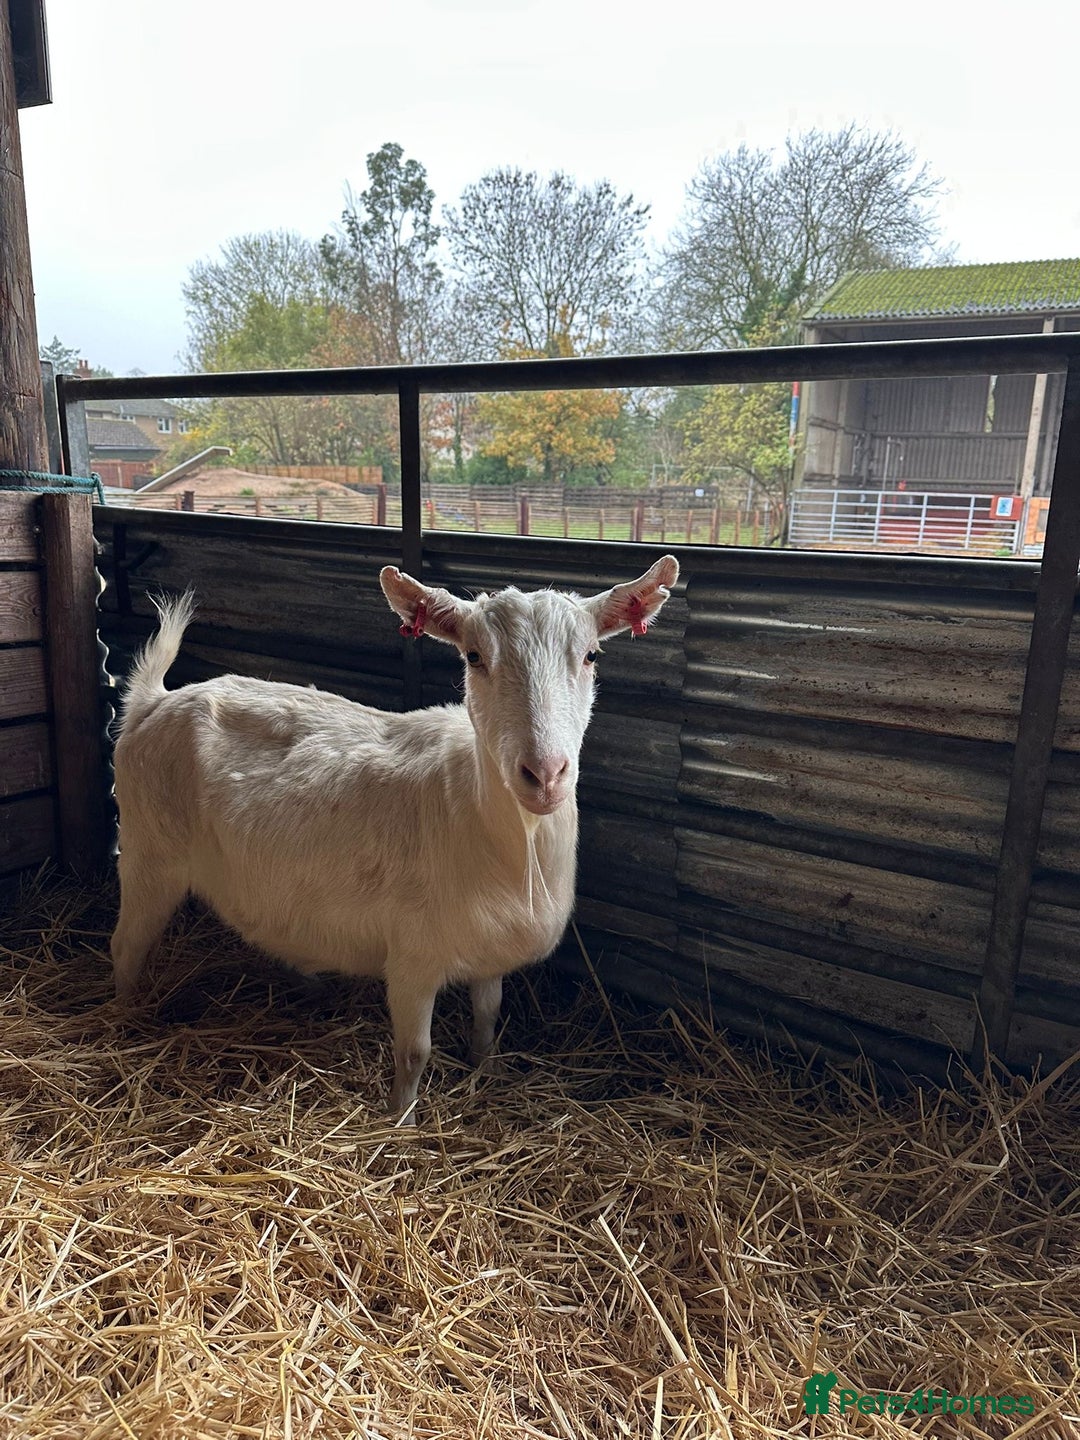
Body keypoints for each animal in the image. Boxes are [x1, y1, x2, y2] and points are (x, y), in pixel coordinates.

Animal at [110, 555, 679, 1116]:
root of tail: (153, 702)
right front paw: (400, 1118)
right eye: (474, 656)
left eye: (590, 655)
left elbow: (488, 1017)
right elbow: (414, 1053)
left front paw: (485, 1069)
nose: (544, 774)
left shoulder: (490, 952)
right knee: (126, 945)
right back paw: (125, 1017)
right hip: (147, 854)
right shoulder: (411, 958)